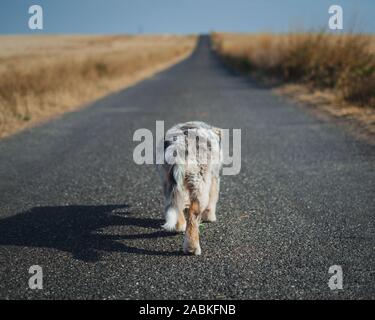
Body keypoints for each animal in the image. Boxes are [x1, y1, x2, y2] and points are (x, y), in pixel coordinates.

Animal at [159, 121, 223, 256]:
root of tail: (179, 146)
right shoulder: (214, 177)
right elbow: (213, 198)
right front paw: (210, 217)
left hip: (168, 181)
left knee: (175, 204)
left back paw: (180, 226)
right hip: (200, 184)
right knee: (193, 215)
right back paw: (192, 248)